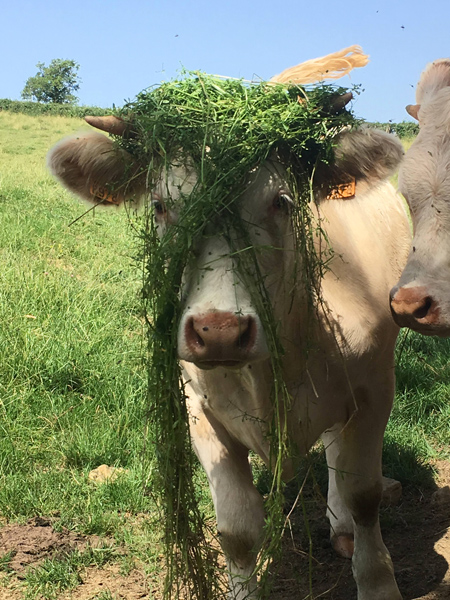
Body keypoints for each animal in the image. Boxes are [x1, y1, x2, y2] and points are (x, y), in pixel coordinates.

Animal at [48, 116, 412, 596]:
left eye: (281, 201)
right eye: (160, 206)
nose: (218, 332)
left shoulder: (375, 389)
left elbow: (365, 497)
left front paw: (378, 583)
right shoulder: (198, 408)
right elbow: (237, 530)